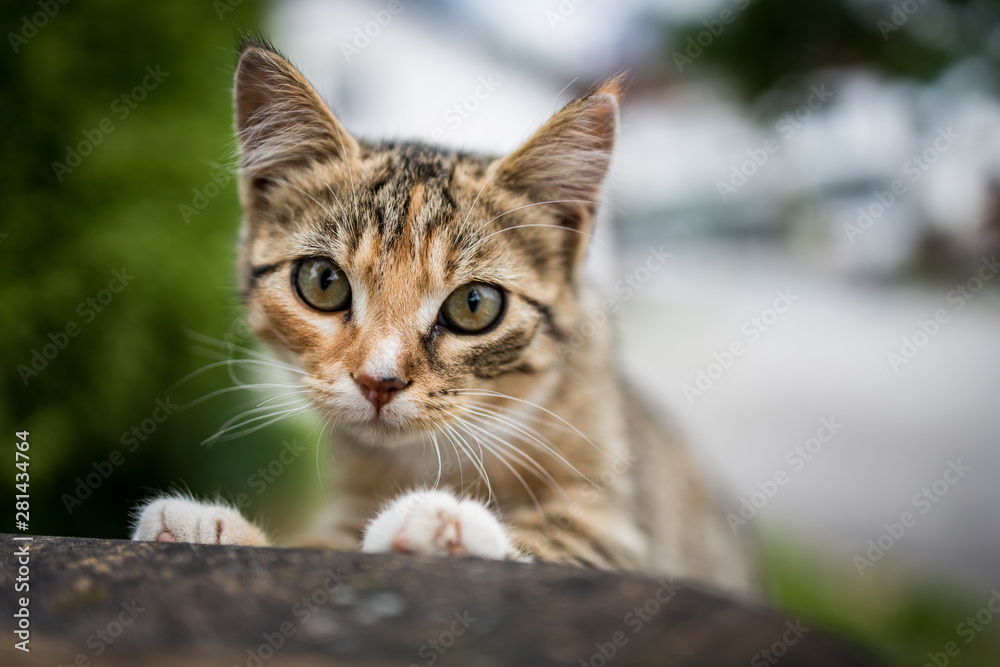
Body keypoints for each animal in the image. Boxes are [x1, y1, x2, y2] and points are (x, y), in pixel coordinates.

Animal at [133, 37, 756, 596]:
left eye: (473, 305)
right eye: (323, 282)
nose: (378, 382)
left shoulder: (623, 523)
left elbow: (569, 543)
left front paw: (445, 526)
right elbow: (318, 543)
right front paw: (210, 529)